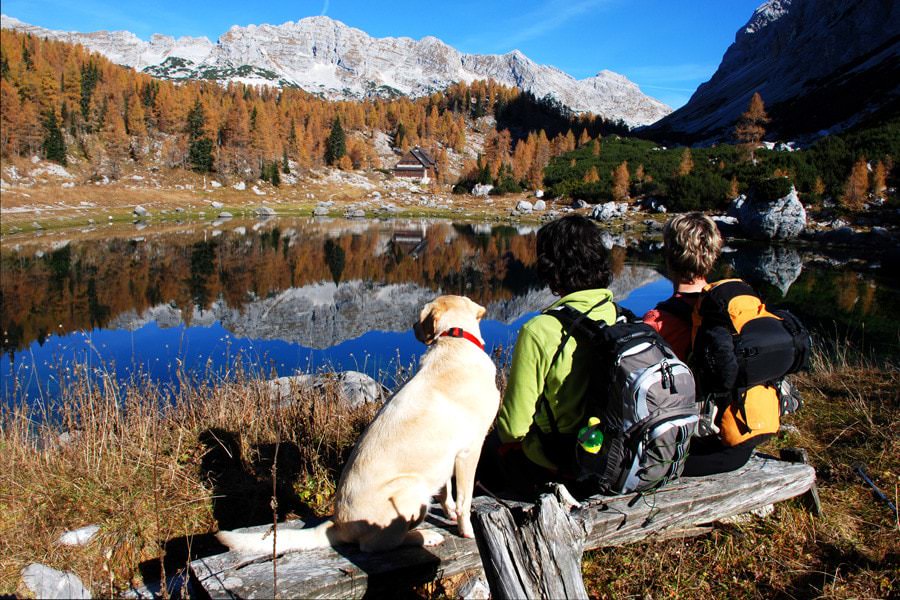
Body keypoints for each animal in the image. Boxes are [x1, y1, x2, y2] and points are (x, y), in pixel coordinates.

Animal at [215, 296, 502, 552]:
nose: (411, 325)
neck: (454, 340)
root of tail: (338, 524)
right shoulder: (469, 451)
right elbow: (465, 498)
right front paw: (467, 529)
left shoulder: (447, 457)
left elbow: (446, 493)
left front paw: (450, 512)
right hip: (411, 490)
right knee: (375, 545)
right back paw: (425, 536)